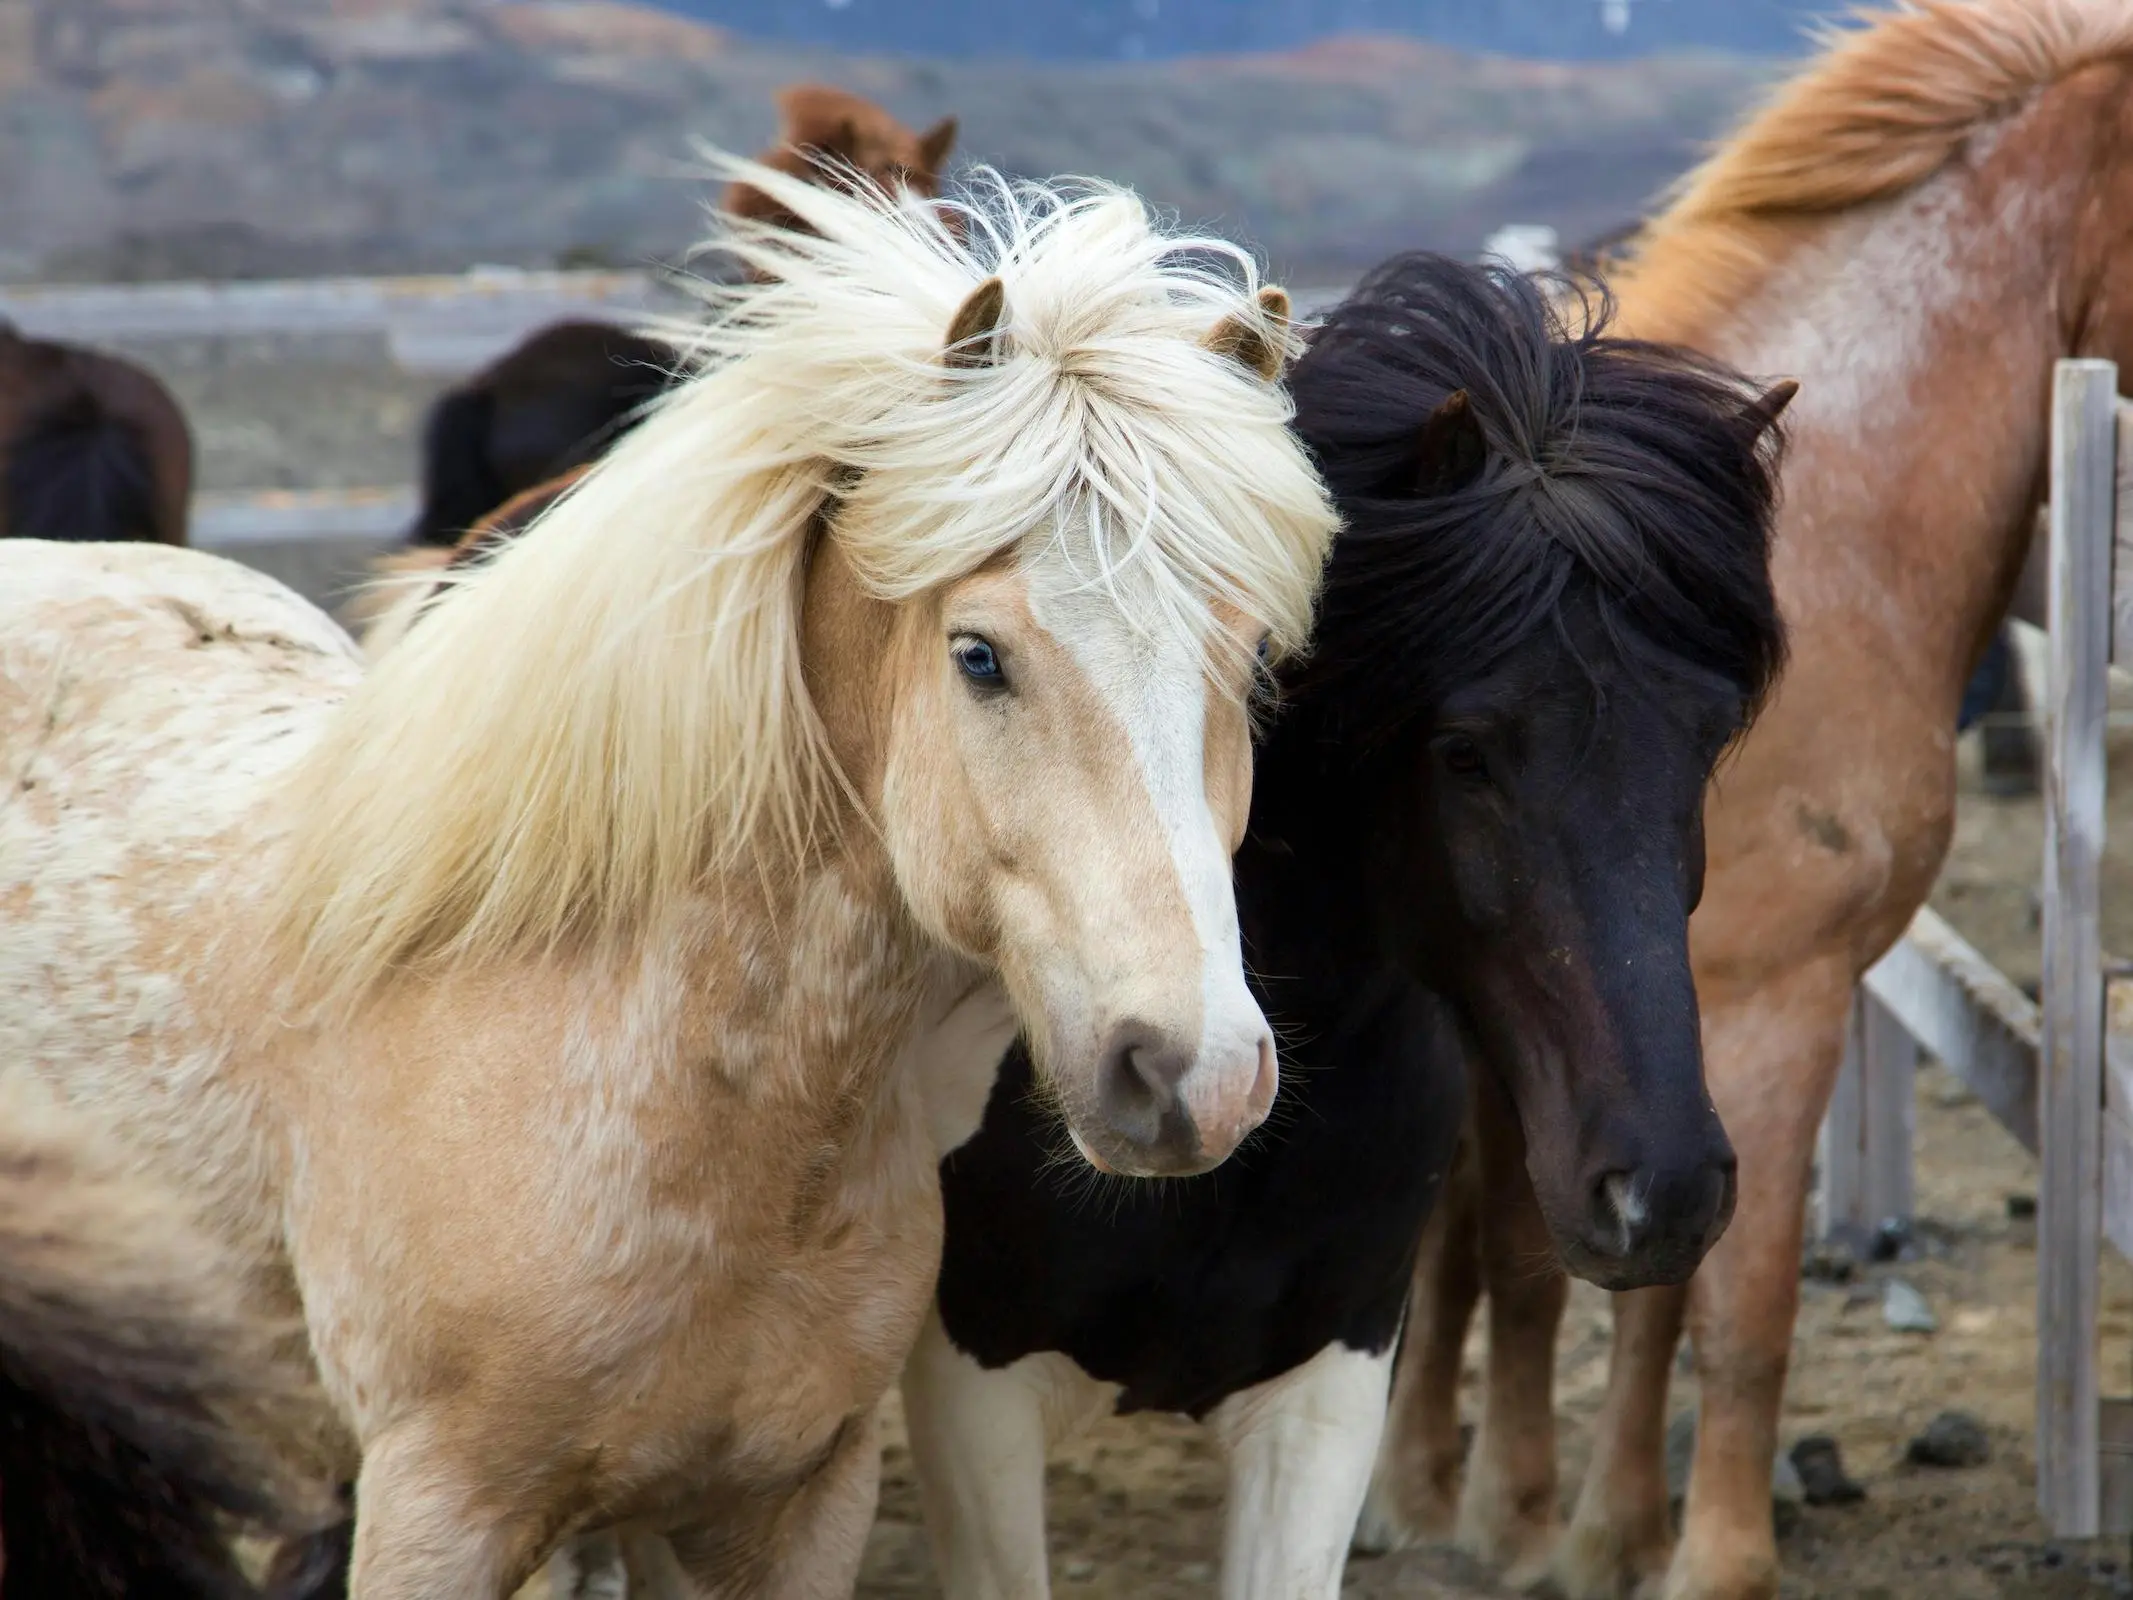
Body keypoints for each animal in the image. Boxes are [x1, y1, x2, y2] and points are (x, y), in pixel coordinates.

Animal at [1356, 3, 2133, 1600]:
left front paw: (1609, 1531)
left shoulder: (1664, 1041)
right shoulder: (1776, 997)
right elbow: (1728, 1294)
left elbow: (1647, 1278)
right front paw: (1686, 1552)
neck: (1830, 542)